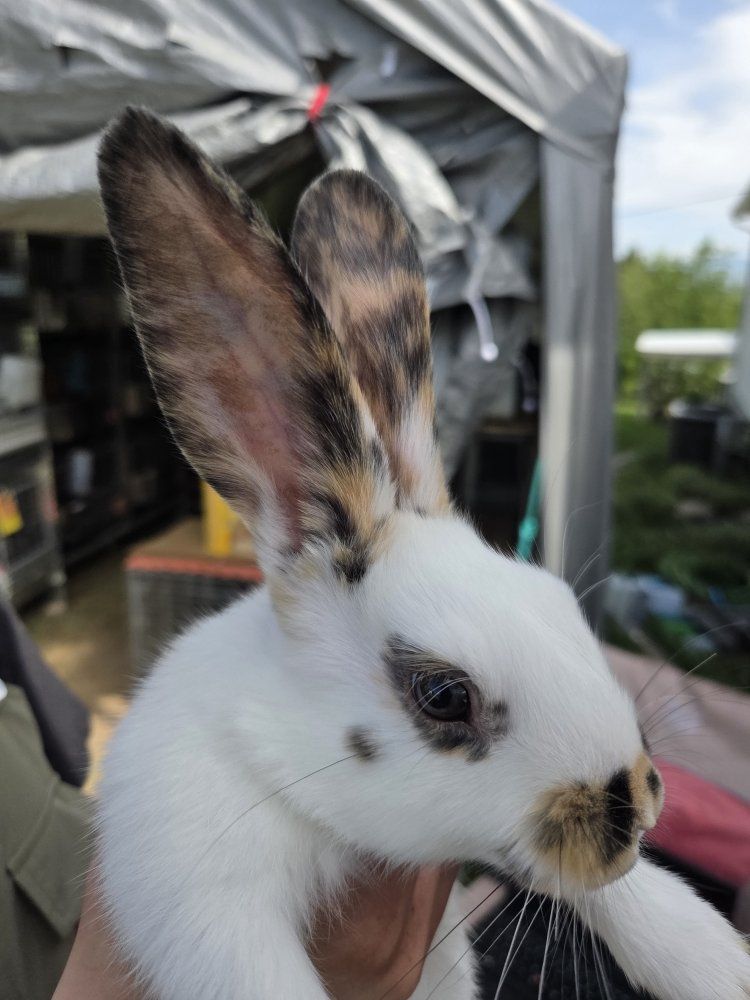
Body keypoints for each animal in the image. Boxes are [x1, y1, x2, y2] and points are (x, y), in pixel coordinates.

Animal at [96, 107, 750, 1000]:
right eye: (443, 696)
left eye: (558, 603)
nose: (642, 807)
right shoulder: (197, 893)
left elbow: (629, 898)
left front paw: (714, 959)